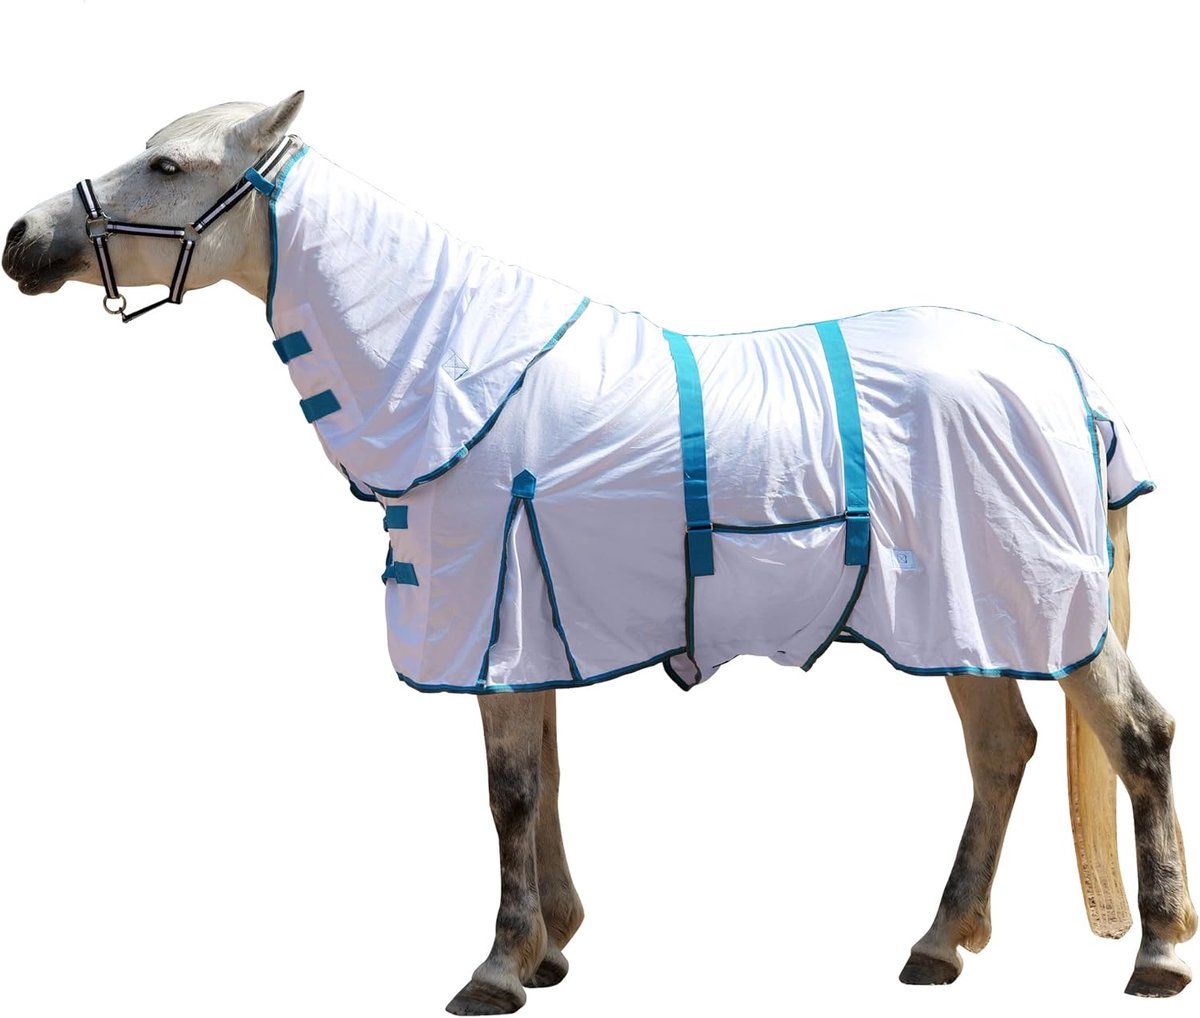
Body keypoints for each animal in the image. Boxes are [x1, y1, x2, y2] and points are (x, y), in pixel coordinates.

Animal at [2, 91, 1194, 1014]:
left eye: (168, 166)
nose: (23, 239)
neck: (463, 372)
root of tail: (1069, 380)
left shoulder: (495, 623)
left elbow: (510, 790)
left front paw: (496, 965)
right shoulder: (533, 632)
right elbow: (545, 776)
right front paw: (552, 945)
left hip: (1034, 610)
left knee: (1137, 736)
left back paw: (1156, 955)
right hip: (969, 619)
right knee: (1001, 751)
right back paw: (940, 944)